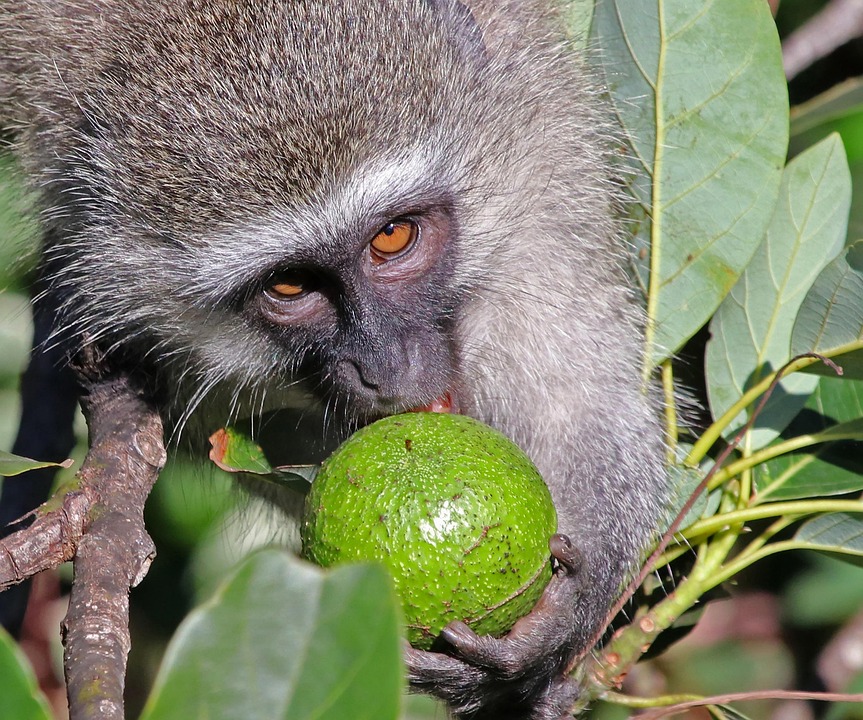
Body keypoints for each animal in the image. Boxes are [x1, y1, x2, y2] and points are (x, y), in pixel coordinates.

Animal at [0, 1, 668, 718]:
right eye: (290, 286)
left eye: (393, 236)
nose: (386, 367)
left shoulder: (541, 154)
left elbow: (582, 403)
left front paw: (562, 616)